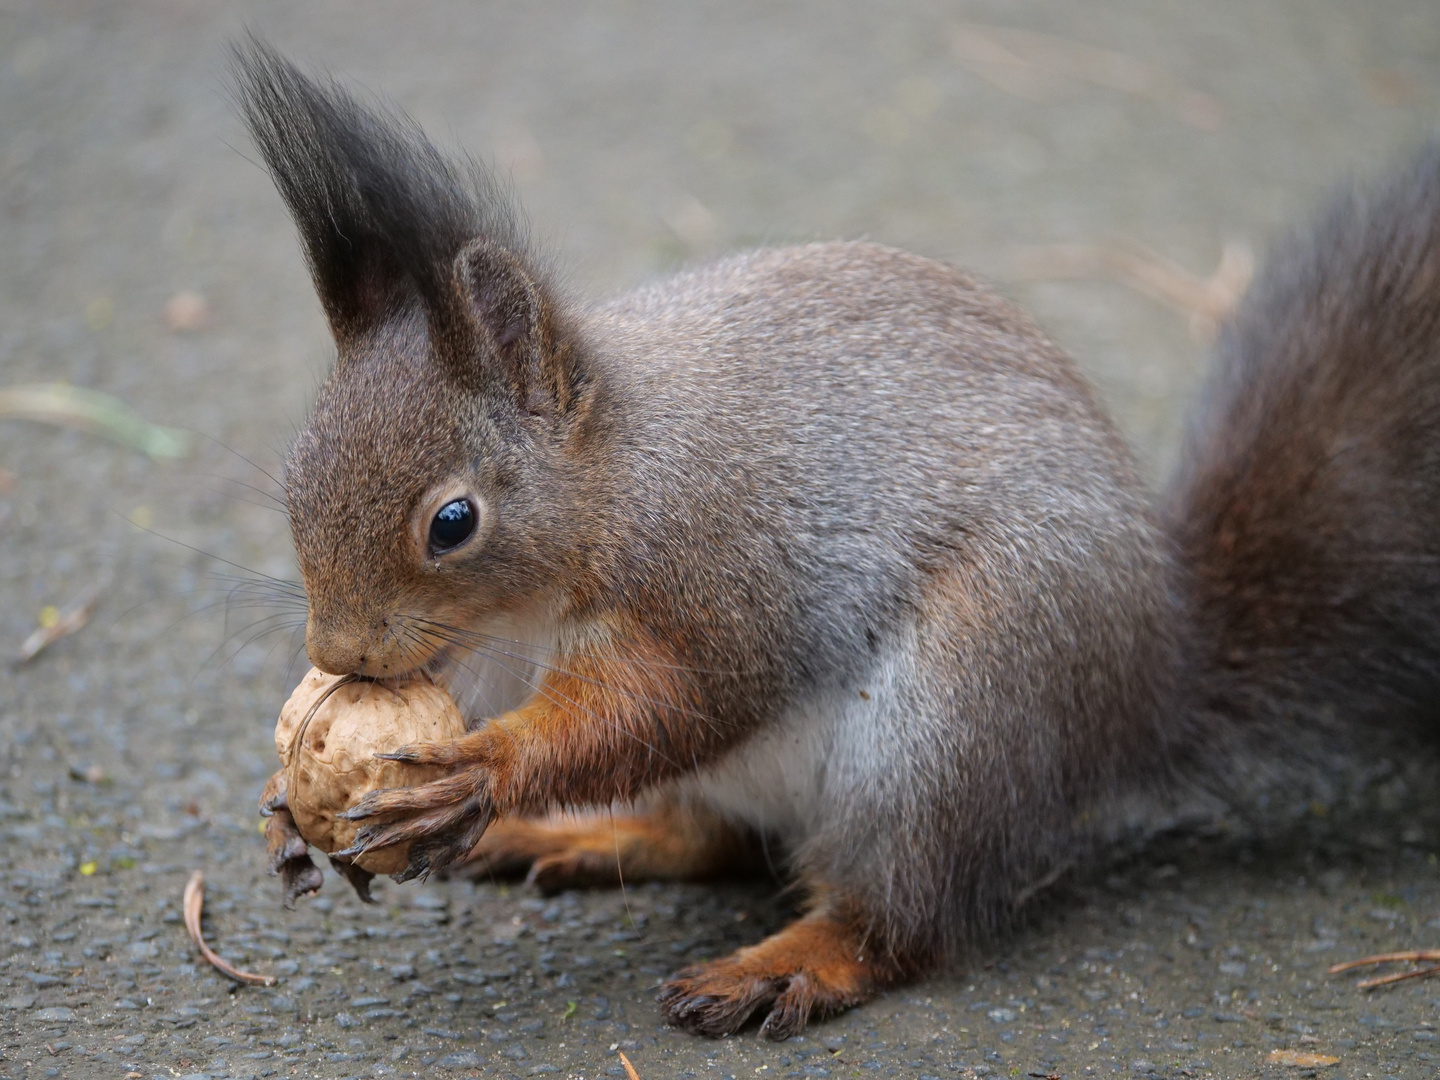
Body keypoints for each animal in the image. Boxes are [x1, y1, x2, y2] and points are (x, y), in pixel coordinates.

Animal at [236, 40, 1440, 1042]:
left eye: (454, 522)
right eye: (293, 475)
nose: (338, 653)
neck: (610, 481)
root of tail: (1147, 690)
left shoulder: (719, 568)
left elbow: (676, 700)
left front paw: (481, 772)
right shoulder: (478, 655)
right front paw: (290, 809)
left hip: (955, 717)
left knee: (898, 913)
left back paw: (788, 961)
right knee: (713, 838)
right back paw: (583, 838)